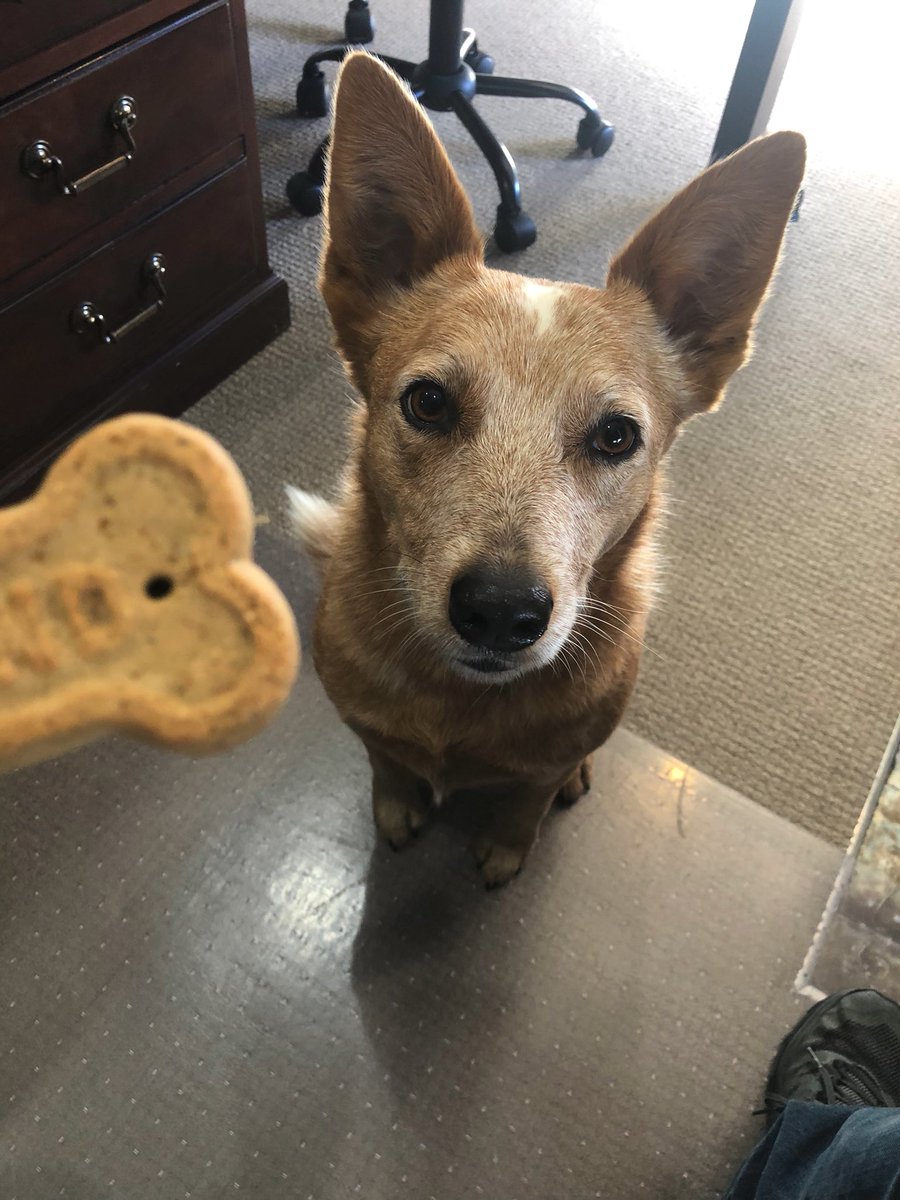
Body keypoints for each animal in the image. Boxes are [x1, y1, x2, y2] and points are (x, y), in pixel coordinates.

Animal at [290, 51, 811, 888]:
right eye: (427, 402)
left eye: (617, 437)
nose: (502, 610)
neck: (458, 705)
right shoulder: (365, 723)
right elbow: (387, 764)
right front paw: (396, 807)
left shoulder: (539, 766)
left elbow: (525, 802)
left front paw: (506, 849)